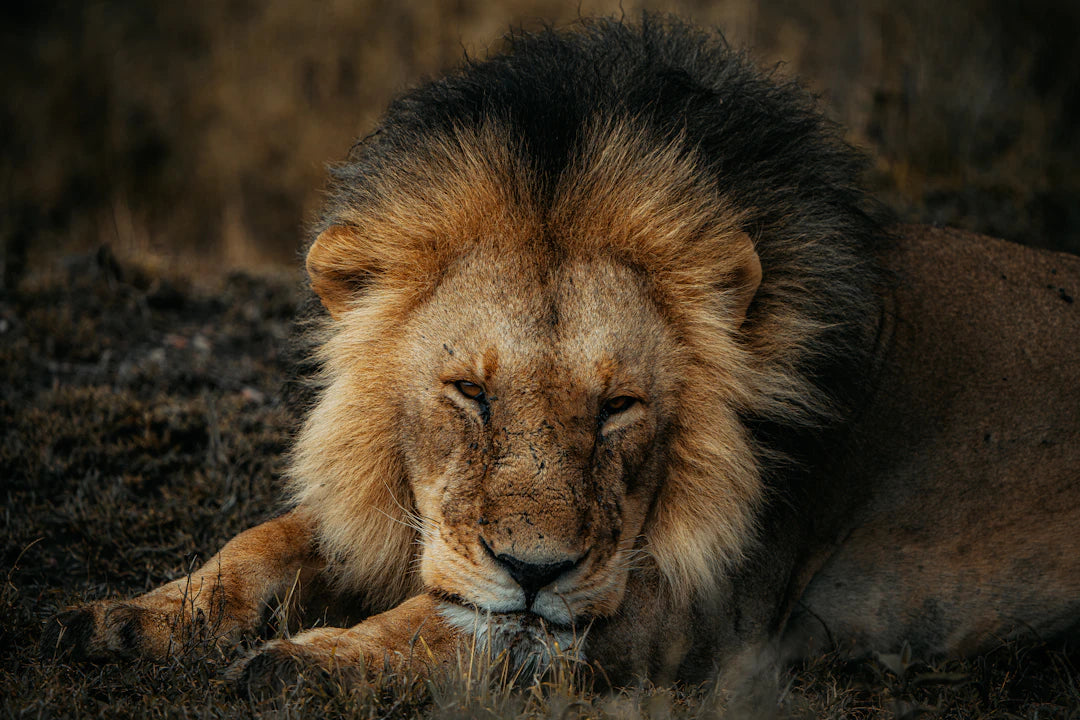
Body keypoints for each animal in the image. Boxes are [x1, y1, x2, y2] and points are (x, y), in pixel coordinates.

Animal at [43, 17, 1080, 692]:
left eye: (618, 408)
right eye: (469, 392)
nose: (533, 568)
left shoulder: (687, 617)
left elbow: (458, 627)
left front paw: (305, 662)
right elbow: (268, 541)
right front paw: (136, 618)